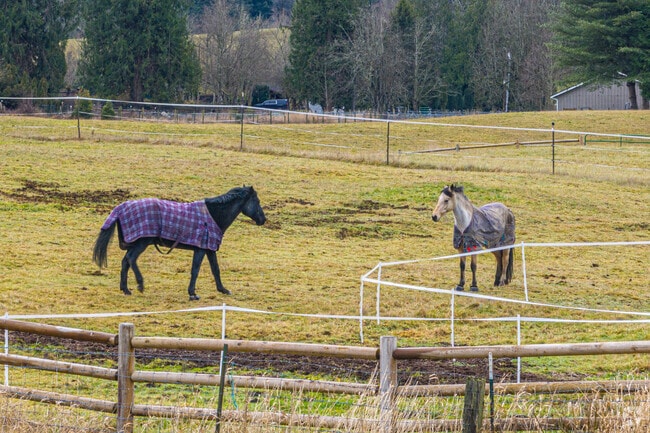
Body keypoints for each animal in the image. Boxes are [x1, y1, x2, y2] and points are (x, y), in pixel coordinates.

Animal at [93, 186, 266, 301]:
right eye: (257, 201)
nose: (263, 220)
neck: (212, 216)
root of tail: (123, 206)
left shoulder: (209, 249)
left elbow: (215, 270)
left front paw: (223, 289)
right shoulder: (200, 249)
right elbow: (195, 270)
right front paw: (193, 293)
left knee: (125, 262)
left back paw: (126, 289)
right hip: (141, 243)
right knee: (130, 259)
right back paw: (140, 285)